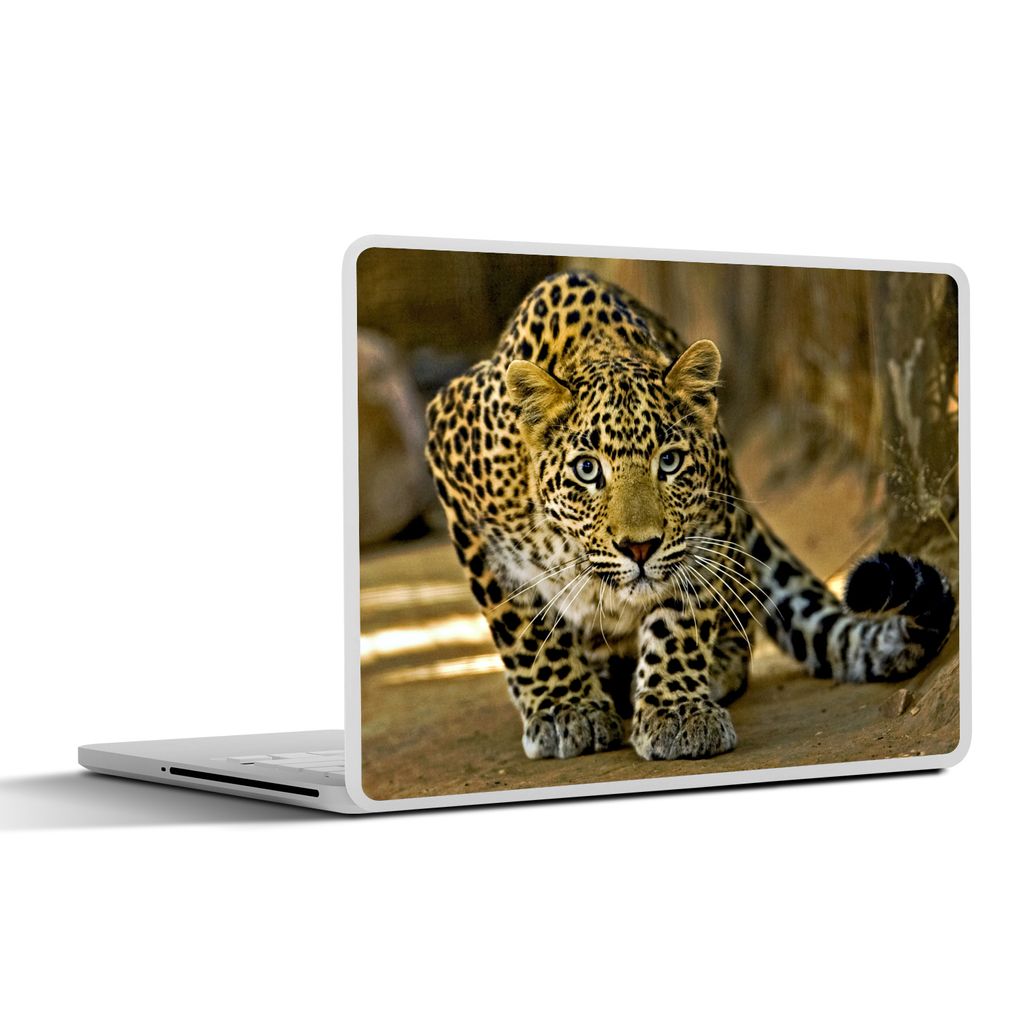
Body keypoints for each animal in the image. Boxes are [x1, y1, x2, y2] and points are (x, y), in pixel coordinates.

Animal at [425, 270, 955, 761]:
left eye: (670, 462)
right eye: (586, 469)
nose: (639, 547)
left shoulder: (706, 529)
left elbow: (679, 621)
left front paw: (676, 712)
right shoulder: (456, 477)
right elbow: (522, 626)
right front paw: (564, 709)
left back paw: (711, 666)